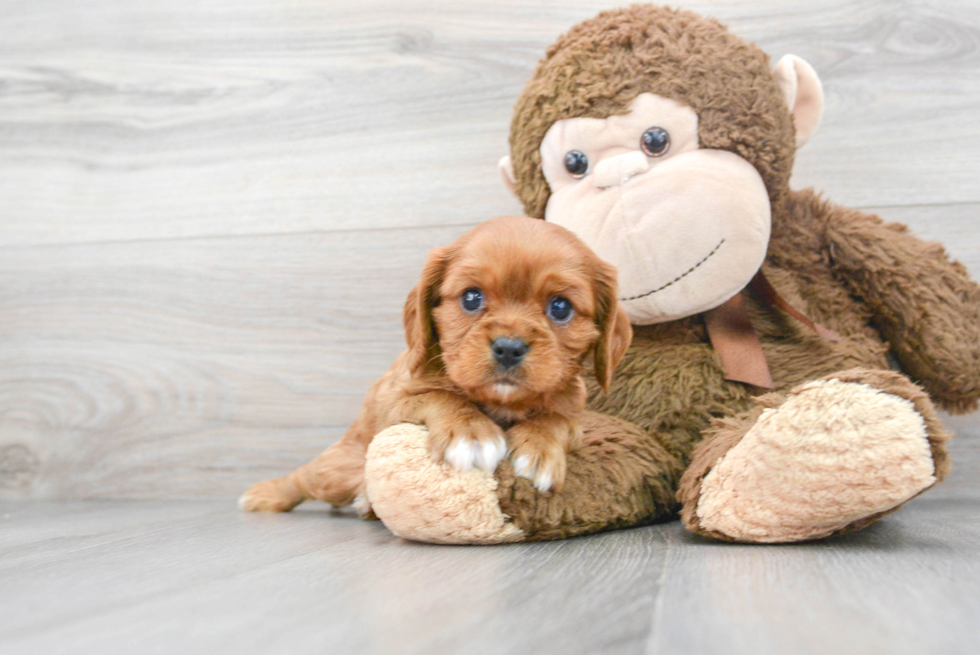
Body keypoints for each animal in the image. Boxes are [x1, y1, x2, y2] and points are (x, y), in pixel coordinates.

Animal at [241, 218, 632, 516]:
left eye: (561, 307)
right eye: (471, 298)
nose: (509, 348)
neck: (500, 402)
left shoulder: (574, 415)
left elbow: (556, 420)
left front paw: (539, 450)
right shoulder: (394, 400)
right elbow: (439, 396)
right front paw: (469, 433)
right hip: (337, 470)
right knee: (306, 476)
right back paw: (266, 494)